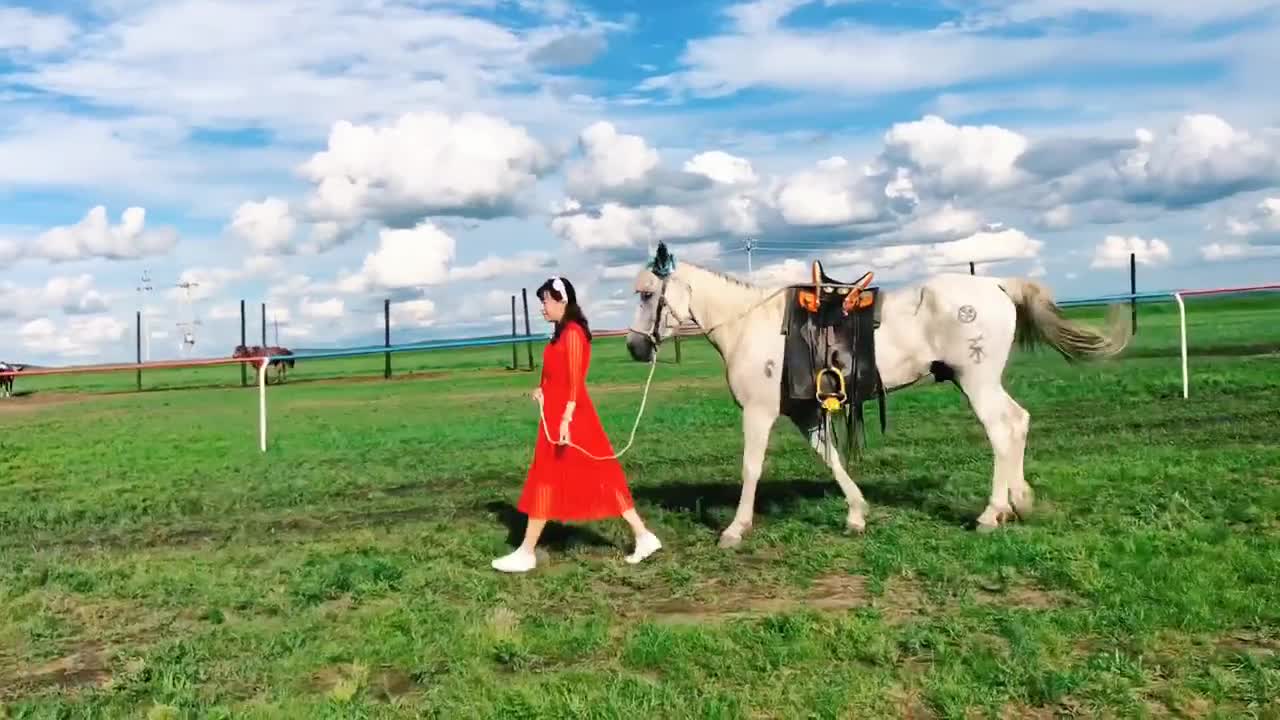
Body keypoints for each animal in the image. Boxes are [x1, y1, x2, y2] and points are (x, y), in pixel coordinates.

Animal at [624, 243, 1126, 545]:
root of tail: (994, 284)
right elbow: (831, 459)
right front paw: (857, 514)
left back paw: (991, 513)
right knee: (1019, 422)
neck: (752, 324)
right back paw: (1018, 502)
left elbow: (751, 468)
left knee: (1003, 431)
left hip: (976, 380)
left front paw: (735, 528)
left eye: (647, 295)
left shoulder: (759, 412)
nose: (634, 347)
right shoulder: (804, 412)